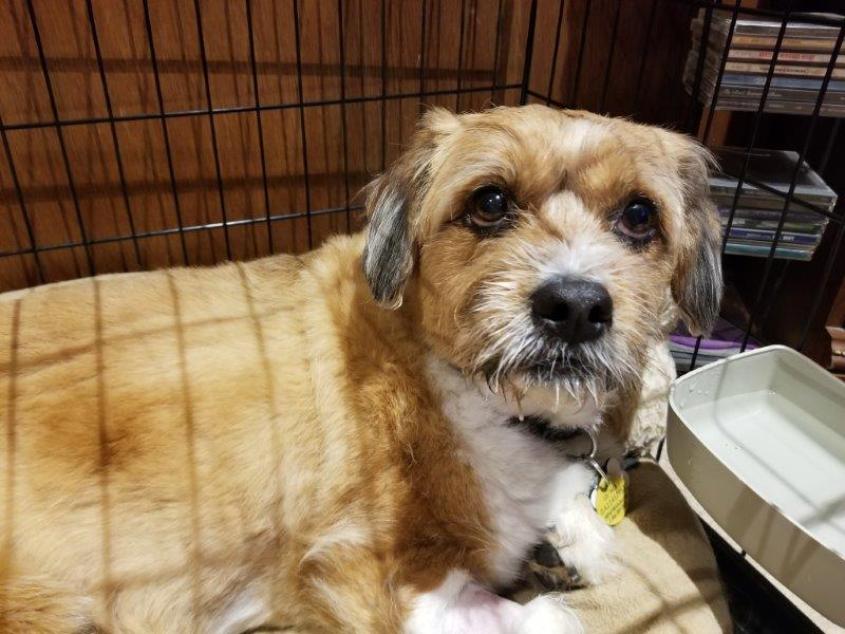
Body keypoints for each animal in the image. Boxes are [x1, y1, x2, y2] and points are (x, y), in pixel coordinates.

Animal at [0, 106, 720, 628]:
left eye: (638, 215)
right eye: (489, 202)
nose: (573, 306)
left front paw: (568, 539)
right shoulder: (370, 576)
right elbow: (547, 620)